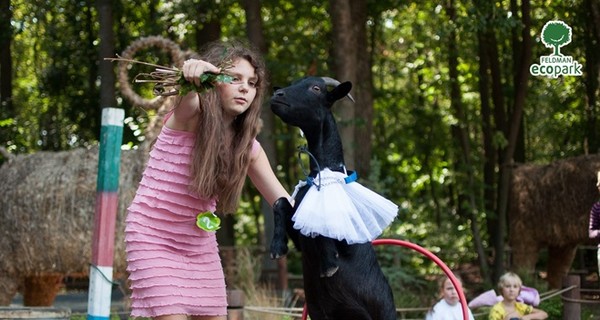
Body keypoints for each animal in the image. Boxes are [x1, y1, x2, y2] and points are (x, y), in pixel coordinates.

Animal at [270, 76, 400, 318]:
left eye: (316, 88)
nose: (277, 95)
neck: (323, 172)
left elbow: (327, 221)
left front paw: (330, 264)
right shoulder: (300, 233)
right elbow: (281, 202)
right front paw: (277, 248)